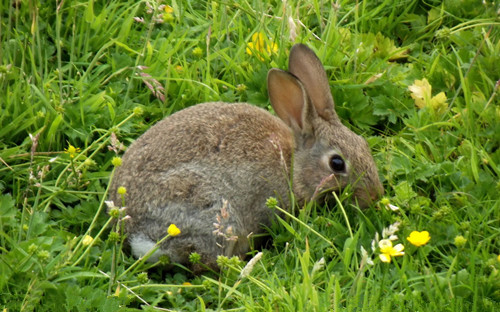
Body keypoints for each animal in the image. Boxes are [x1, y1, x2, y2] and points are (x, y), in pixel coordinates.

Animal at [109, 43, 382, 270]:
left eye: (363, 144)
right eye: (337, 163)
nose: (375, 196)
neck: (292, 165)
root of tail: (131, 231)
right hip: (212, 212)